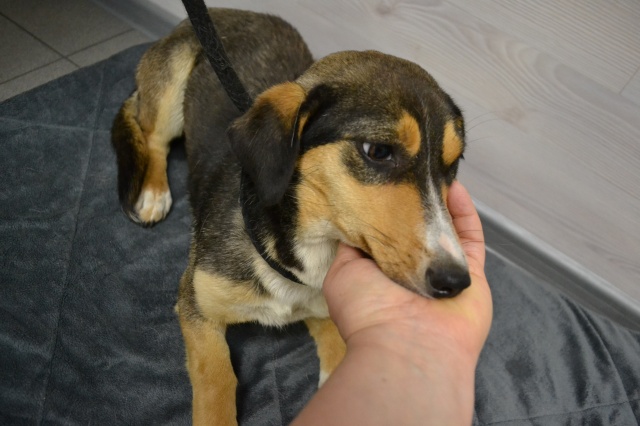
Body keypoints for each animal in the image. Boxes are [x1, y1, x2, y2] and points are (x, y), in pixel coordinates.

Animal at [112, 8, 470, 425]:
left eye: (452, 165)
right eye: (378, 151)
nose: (456, 281)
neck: (309, 248)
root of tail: (224, 12)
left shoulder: (328, 310)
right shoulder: (196, 305)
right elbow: (216, 380)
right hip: (171, 87)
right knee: (152, 135)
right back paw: (153, 192)